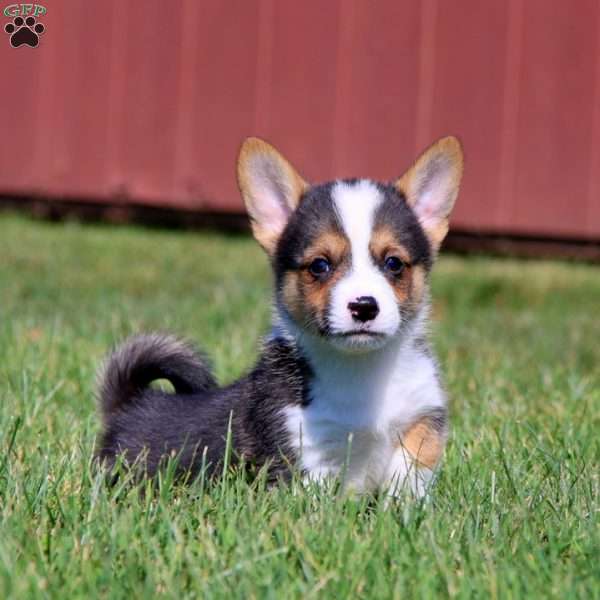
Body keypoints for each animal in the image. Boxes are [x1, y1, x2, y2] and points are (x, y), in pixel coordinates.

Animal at [97, 136, 464, 496]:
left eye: (394, 263)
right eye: (320, 265)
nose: (364, 306)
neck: (359, 369)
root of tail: (130, 403)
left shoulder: (424, 413)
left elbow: (412, 465)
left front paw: (401, 505)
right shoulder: (304, 451)